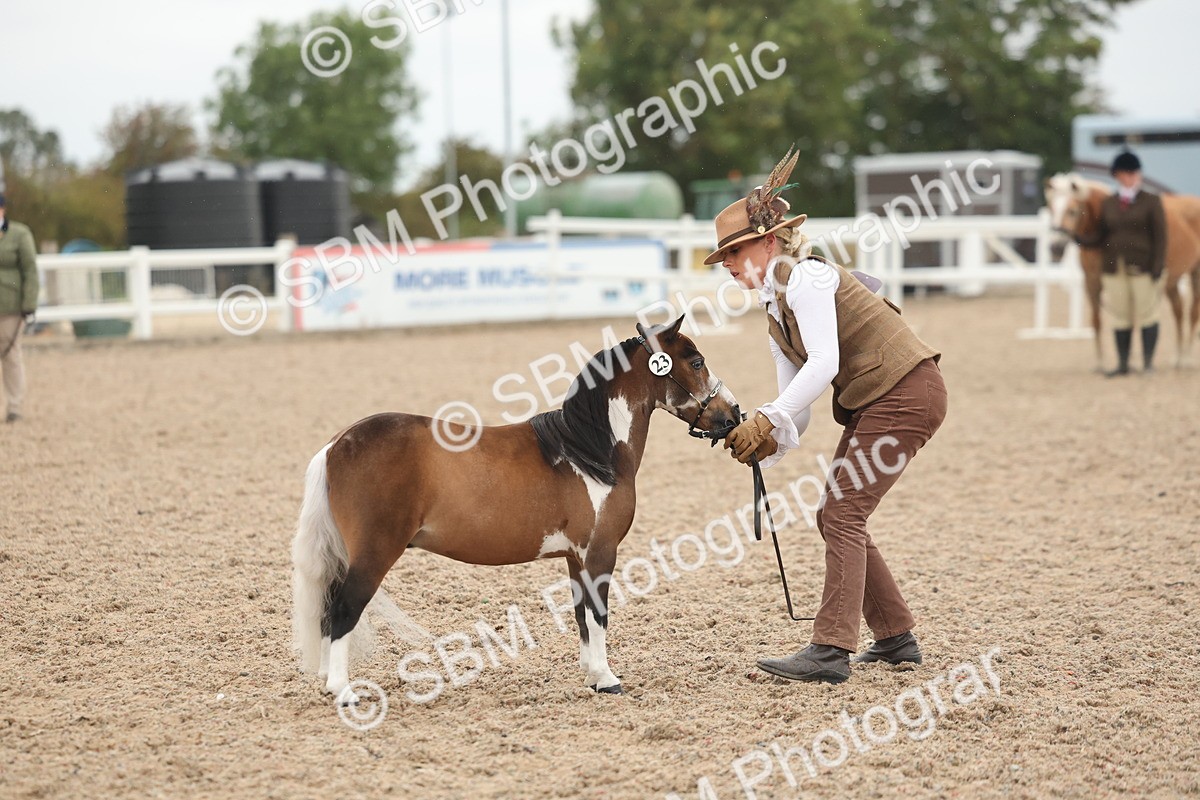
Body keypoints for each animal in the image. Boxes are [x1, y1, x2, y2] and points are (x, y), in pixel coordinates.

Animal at [291, 315, 741, 703]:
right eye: (696, 362)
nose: (733, 414)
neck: (589, 451)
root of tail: (337, 443)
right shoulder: (601, 552)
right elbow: (599, 614)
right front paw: (608, 678)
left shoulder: (576, 557)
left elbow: (581, 615)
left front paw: (591, 676)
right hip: (374, 554)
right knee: (343, 609)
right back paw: (343, 691)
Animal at [1044, 173, 1200, 368]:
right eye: (1050, 209)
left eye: (1072, 211)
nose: (1055, 248)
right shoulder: (1092, 282)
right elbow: (1097, 321)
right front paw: (1101, 363)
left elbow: (1131, 319)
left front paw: (1128, 361)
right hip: (1171, 281)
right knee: (1178, 311)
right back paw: (1177, 358)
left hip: (1195, 273)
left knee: (1193, 312)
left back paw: (1186, 358)